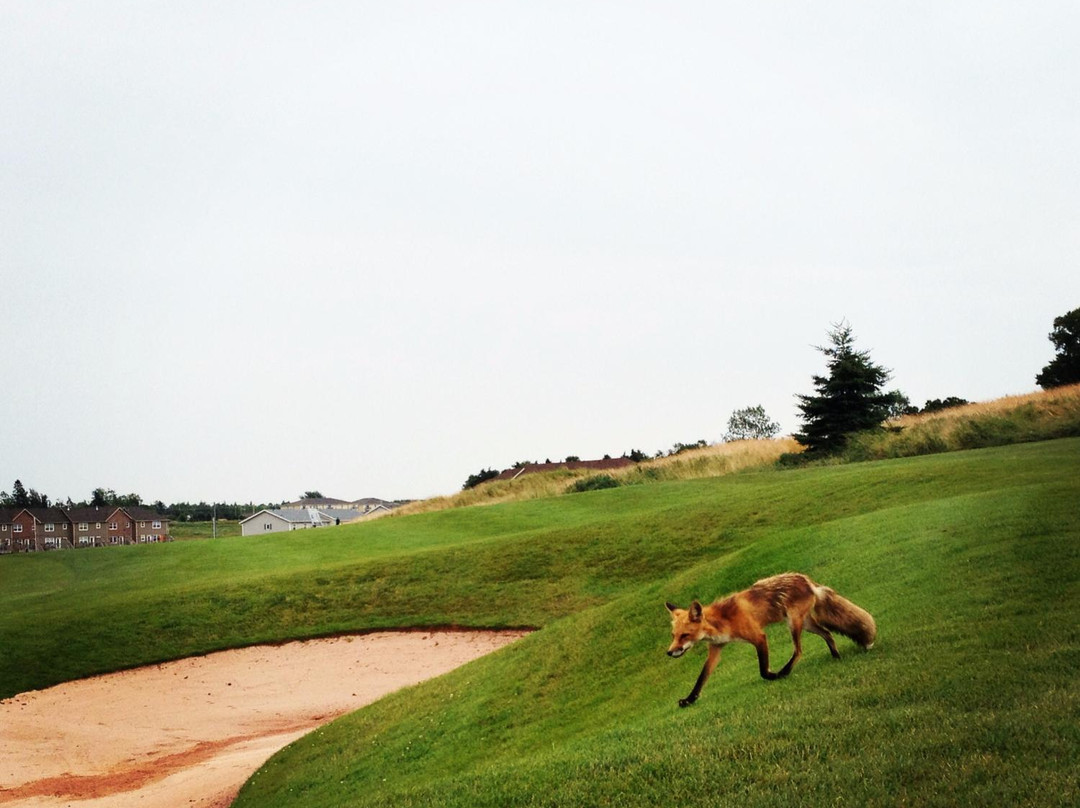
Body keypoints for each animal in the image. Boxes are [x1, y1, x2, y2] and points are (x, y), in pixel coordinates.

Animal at [665, 572, 876, 707]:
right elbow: (701, 678)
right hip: (806, 624)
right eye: (674, 636)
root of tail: (806, 580)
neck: (722, 621)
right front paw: (689, 700)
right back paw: (836, 656)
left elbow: (763, 670)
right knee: (828, 633)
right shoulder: (716, 648)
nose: (669, 652)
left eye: (685, 635)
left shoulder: (759, 637)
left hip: (793, 623)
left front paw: (774, 676)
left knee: (799, 650)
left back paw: (785, 671)